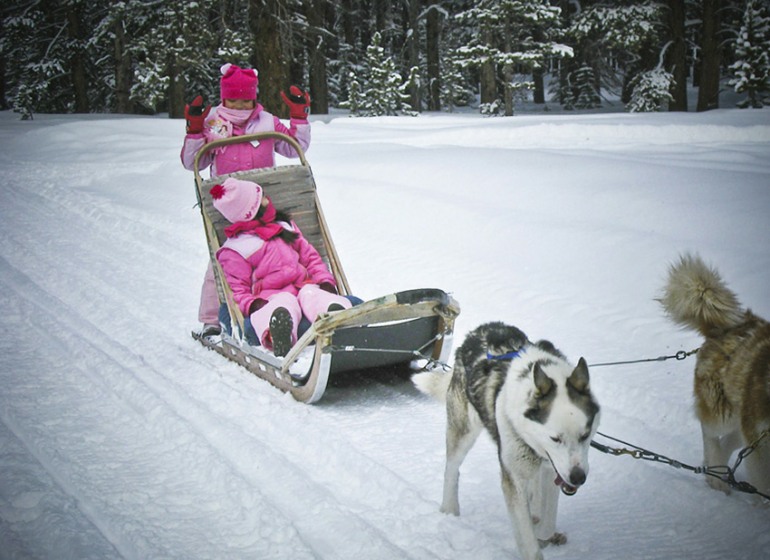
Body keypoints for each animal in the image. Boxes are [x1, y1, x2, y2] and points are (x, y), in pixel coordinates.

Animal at [414, 322, 600, 556]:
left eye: (585, 435)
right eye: (555, 438)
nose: (578, 477)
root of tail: (477, 331)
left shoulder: (552, 469)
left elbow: (546, 522)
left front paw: (542, 530)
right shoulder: (514, 479)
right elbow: (529, 542)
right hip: (464, 430)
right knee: (452, 469)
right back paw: (449, 508)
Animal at [660, 254, 768, 494]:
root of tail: (726, 327)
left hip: (741, 422)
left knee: (728, 441)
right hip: (723, 412)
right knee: (710, 432)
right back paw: (715, 474)